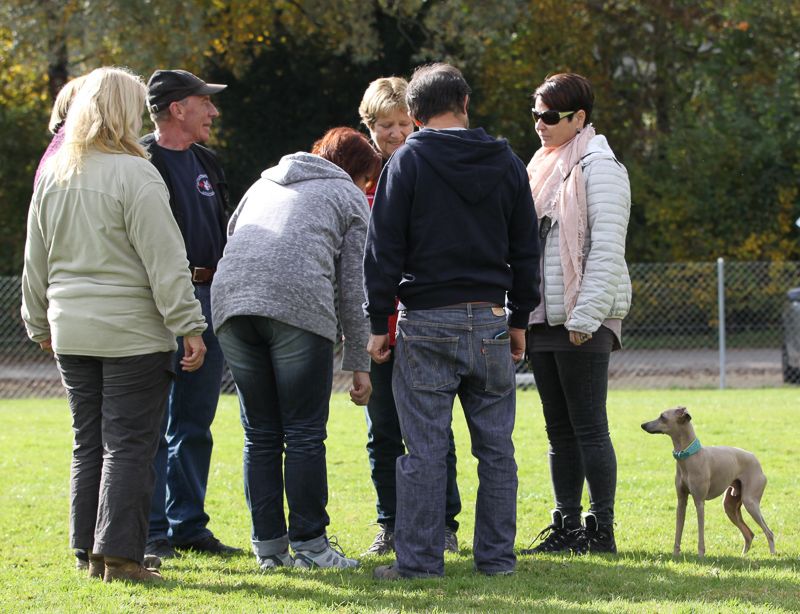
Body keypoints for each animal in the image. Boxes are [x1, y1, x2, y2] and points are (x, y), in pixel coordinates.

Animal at [644, 406, 776, 560]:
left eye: (663, 417)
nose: (643, 425)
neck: (690, 456)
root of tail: (756, 459)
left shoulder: (699, 502)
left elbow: (701, 531)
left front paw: (701, 555)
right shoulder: (681, 502)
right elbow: (678, 530)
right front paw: (675, 554)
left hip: (750, 502)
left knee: (769, 532)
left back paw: (773, 554)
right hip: (730, 506)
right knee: (749, 534)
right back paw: (743, 556)